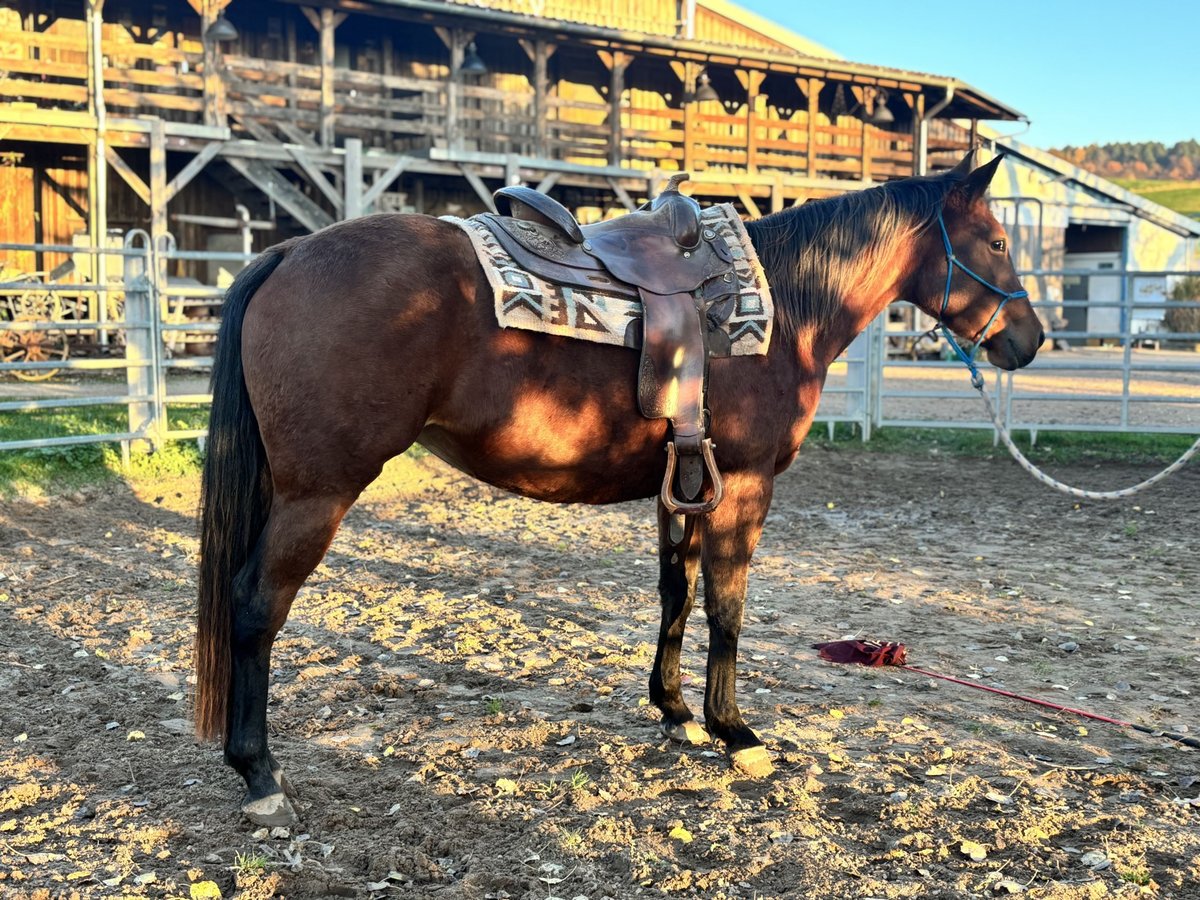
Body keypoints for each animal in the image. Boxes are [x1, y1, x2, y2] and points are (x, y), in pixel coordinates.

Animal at [194, 151, 1043, 825]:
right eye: (999, 241)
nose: (1031, 341)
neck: (785, 308)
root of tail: (290, 252)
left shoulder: (685, 485)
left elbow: (678, 594)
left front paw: (677, 714)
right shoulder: (743, 489)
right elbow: (727, 608)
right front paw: (737, 733)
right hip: (317, 494)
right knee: (255, 606)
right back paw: (260, 775)